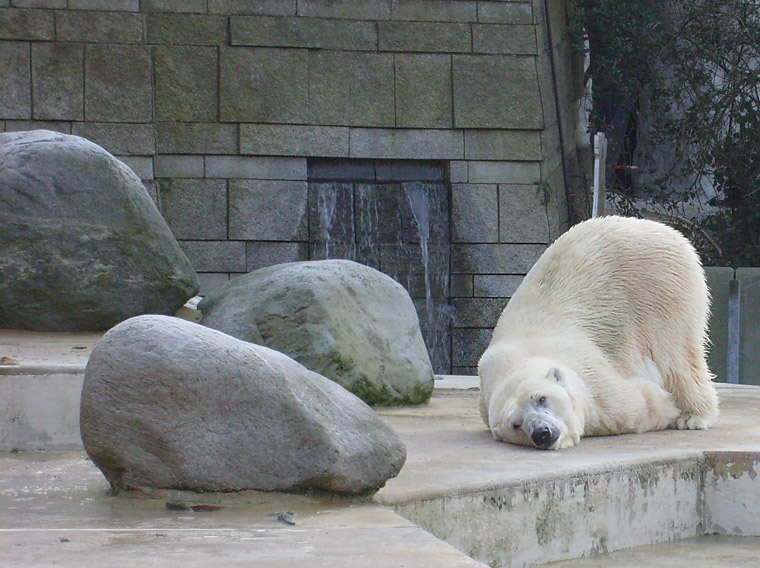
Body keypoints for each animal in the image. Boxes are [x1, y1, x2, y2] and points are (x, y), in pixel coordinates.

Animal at [478, 215, 720, 450]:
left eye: (541, 398)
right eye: (516, 424)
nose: (541, 432)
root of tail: (664, 230)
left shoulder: (591, 376)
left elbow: (635, 403)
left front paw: (666, 407)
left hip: (660, 288)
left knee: (675, 356)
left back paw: (694, 416)